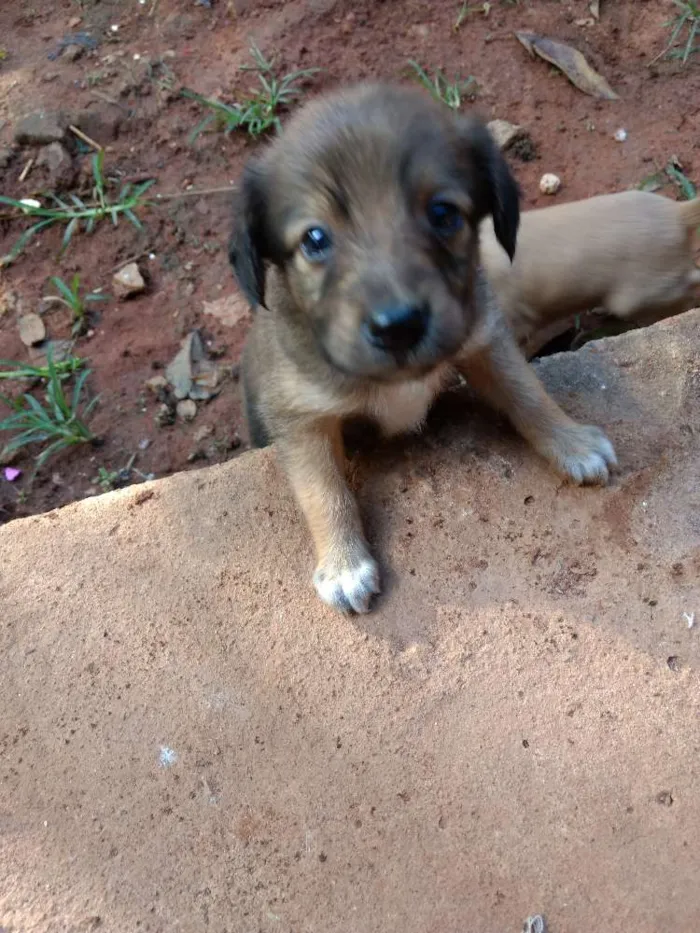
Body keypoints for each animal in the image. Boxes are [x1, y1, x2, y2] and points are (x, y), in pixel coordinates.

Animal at [228, 85, 612, 612]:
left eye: (443, 214)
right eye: (315, 238)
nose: (399, 327)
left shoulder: (482, 335)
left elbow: (527, 392)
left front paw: (571, 441)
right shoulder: (299, 414)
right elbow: (322, 488)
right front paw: (344, 564)